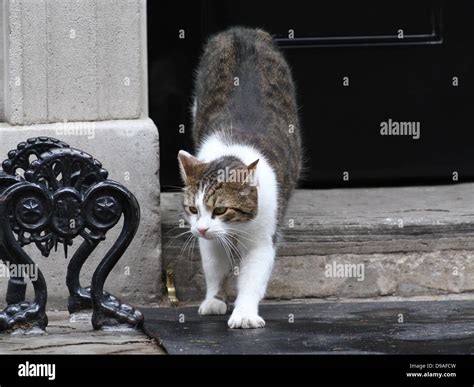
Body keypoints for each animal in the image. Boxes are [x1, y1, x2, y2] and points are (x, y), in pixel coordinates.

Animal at [178, 28, 304, 330]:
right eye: (193, 209)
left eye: (221, 209)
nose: (201, 228)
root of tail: (241, 31)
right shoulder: (208, 240)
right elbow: (214, 267)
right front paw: (214, 299)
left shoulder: (264, 235)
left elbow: (253, 277)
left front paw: (244, 313)